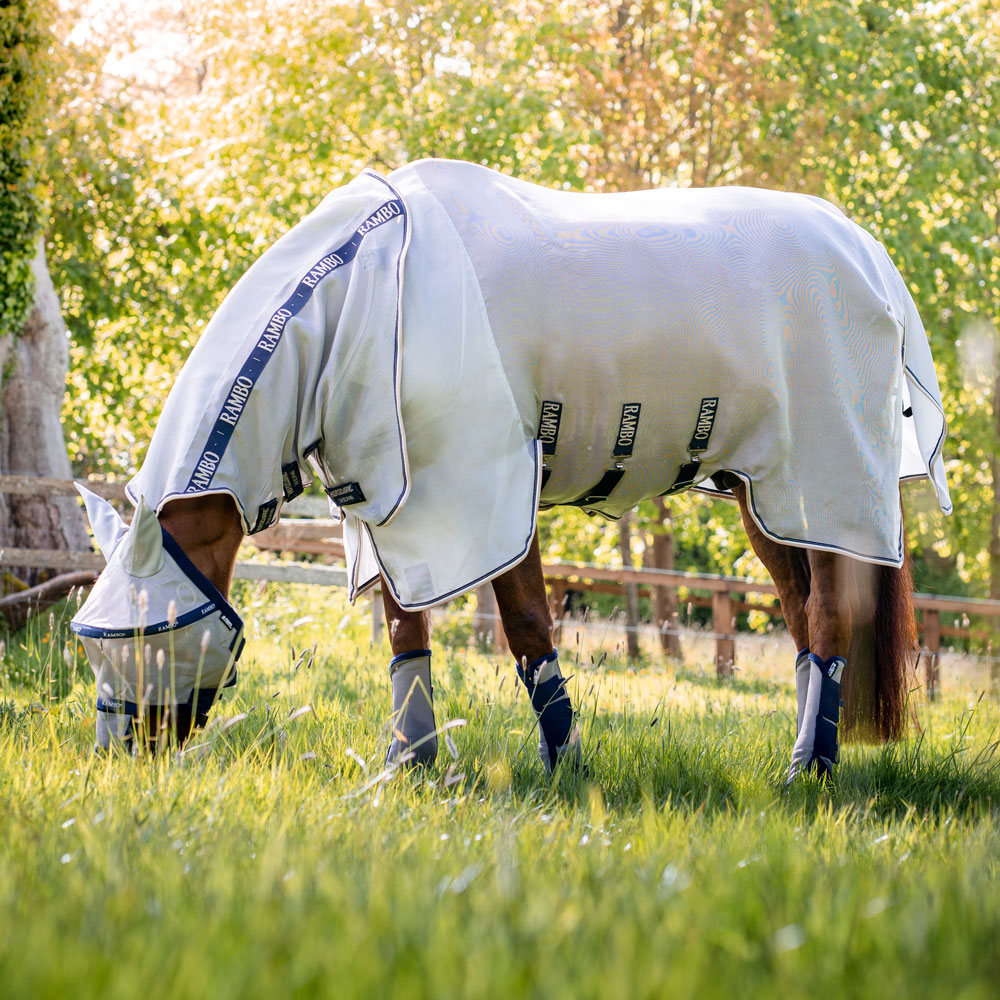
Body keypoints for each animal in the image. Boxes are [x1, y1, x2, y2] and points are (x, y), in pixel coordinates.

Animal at [68, 158, 944, 780]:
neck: (367, 290)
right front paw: (410, 764)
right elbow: (405, 632)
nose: (120, 756)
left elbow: (525, 626)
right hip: (765, 496)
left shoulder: (485, 488)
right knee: (801, 614)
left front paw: (566, 769)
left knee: (825, 615)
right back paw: (809, 760)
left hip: (826, 483)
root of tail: (865, 251)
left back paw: (807, 771)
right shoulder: (393, 505)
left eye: (148, 633)